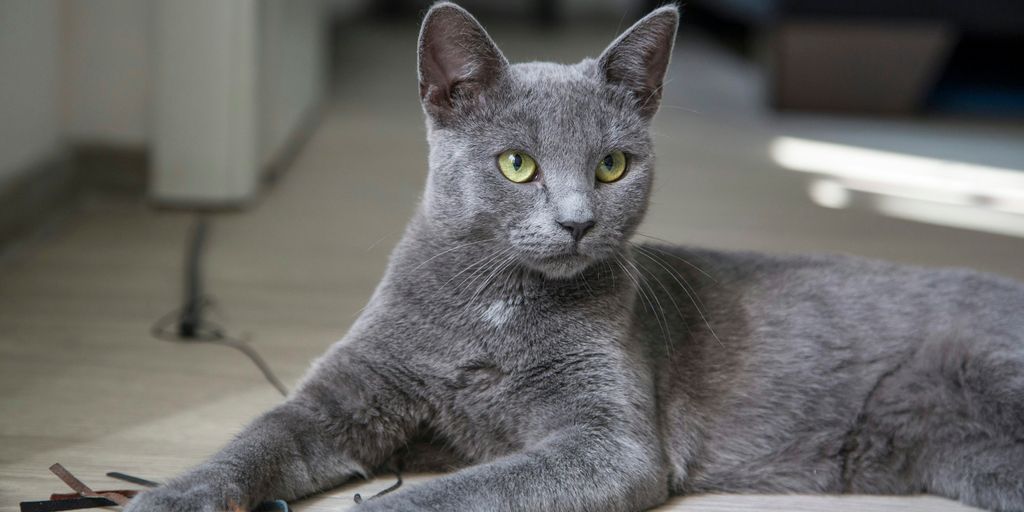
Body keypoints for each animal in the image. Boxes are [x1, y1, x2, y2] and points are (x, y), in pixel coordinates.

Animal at [128, 4, 1024, 512]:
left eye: (613, 166)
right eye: (517, 164)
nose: (577, 222)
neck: (493, 308)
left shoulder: (608, 441)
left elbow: (461, 492)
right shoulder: (347, 391)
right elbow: (260, 436)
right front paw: (171, 498)